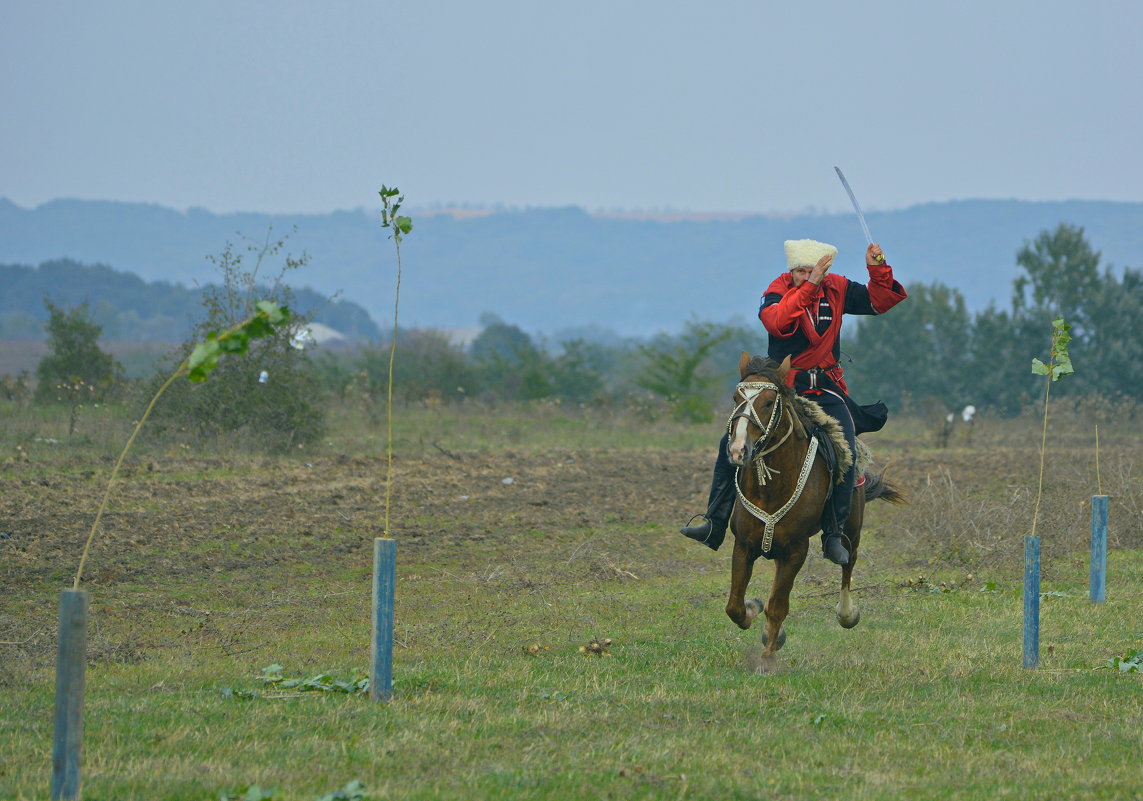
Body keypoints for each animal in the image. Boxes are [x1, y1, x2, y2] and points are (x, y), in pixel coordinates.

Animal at [722, 351, 900, 671]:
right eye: (736, 398)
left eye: (769, 401)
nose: (738, 450)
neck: (772, 486)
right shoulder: (743, 546)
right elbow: (735, 606)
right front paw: (755, 613)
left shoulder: (796, 550)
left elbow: (778, 607)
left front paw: (767, 659)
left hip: (851, 530)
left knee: (848, 563)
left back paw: (847, 613)